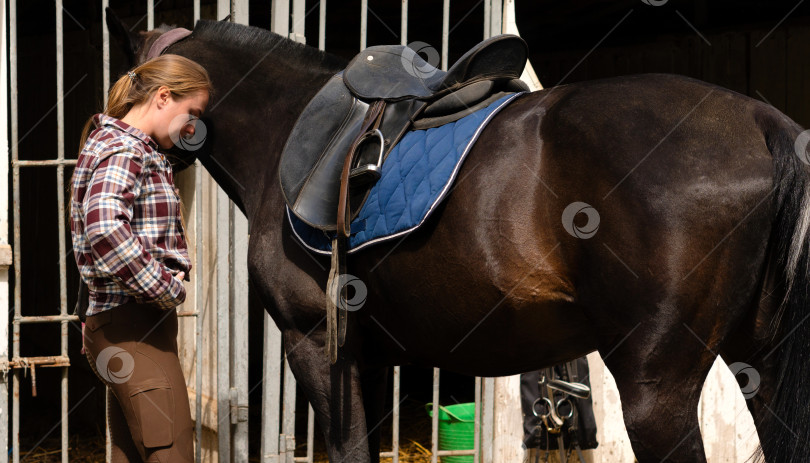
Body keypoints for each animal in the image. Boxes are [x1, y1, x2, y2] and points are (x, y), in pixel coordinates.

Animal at [110, 14, 808, 463]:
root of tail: (762, 119)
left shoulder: (314, 343)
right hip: (759, 371)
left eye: (126, 81)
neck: (286, 131)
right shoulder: (368, 357)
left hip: (655, 387)